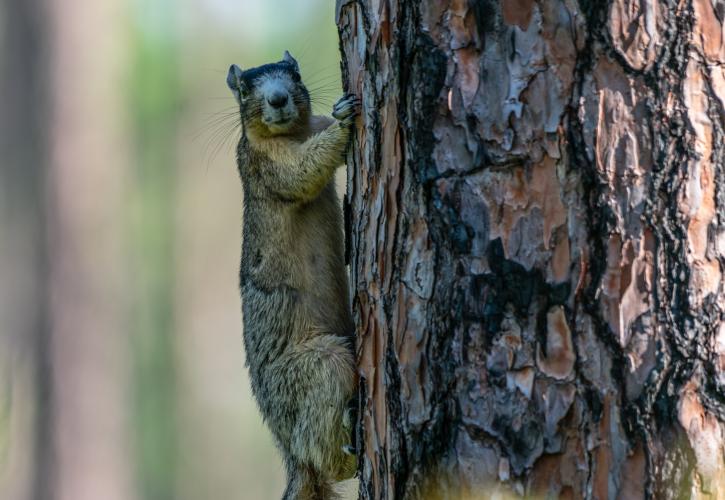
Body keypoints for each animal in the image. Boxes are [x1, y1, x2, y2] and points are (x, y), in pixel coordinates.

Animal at [226, 49, 360, 496]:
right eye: (243, 88)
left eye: (295, 74)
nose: (279, 98)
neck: (295, 133)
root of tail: (289, 452)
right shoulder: (264, 168)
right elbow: (302, 172)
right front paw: (345, 120)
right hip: (319, 367)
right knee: (323, 450)